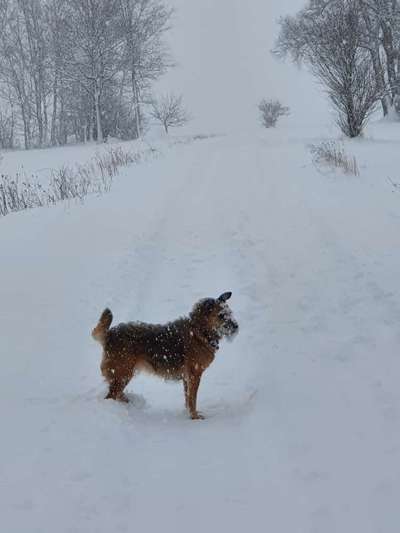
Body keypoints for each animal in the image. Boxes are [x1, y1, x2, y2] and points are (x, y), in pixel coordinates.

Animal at [92, 294, 239, 418]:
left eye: (230, 313)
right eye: (221, 315)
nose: (236, 326)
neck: (199, 330)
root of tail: (109, 334)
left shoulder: (187, 378)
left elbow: (187, 398)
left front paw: (188, 413)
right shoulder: (194, 375)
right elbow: (192, 399)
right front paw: (194, 416)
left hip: (123, 374)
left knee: (116, 394)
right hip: (122, 373)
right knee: (111, 395)